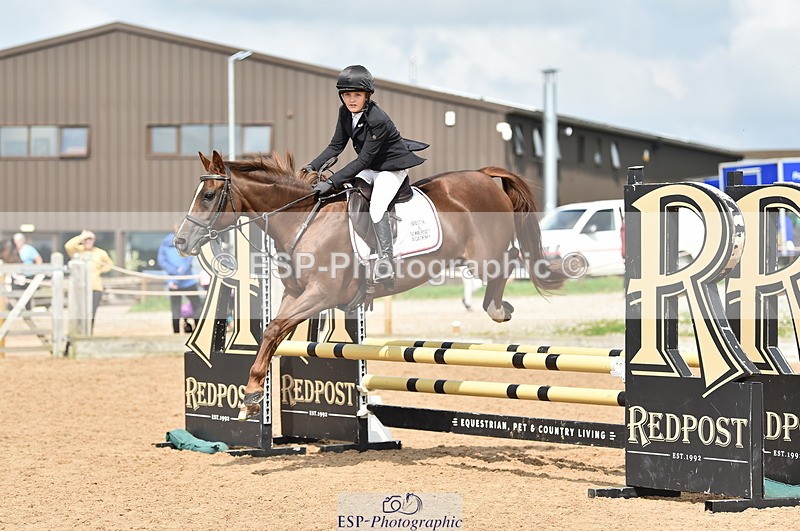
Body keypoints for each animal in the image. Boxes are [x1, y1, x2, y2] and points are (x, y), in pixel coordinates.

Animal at [174, 150, 565, 420]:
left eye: (207, 196)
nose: (180, 242)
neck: (304, 219)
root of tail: (484, 174)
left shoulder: (321, 295)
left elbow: (272, 330)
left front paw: (250, 397)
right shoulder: (296, 294)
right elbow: (273, 333)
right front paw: (252, 397)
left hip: (483, 257)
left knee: (511, 259)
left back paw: (498, 308)